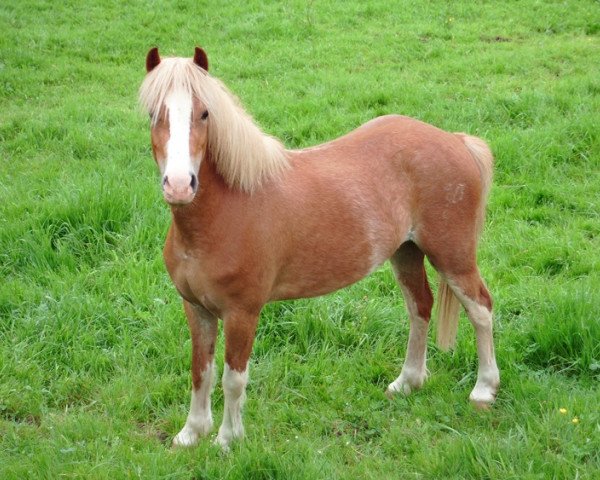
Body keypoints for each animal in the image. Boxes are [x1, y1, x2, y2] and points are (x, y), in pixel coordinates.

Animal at [138, 47, 500, 450]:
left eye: (204, 113)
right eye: (153, 113)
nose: (179, 185)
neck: (225, 212)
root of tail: (455, 139)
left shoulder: (242, 313)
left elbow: (233, 378)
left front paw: (227, 440)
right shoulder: (196, 308)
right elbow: (201, 370)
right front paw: (191, 433)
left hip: (453, 257)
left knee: (480, 309)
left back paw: (484, 390)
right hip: (406, 253)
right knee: (420, 306)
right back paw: (407, 382)